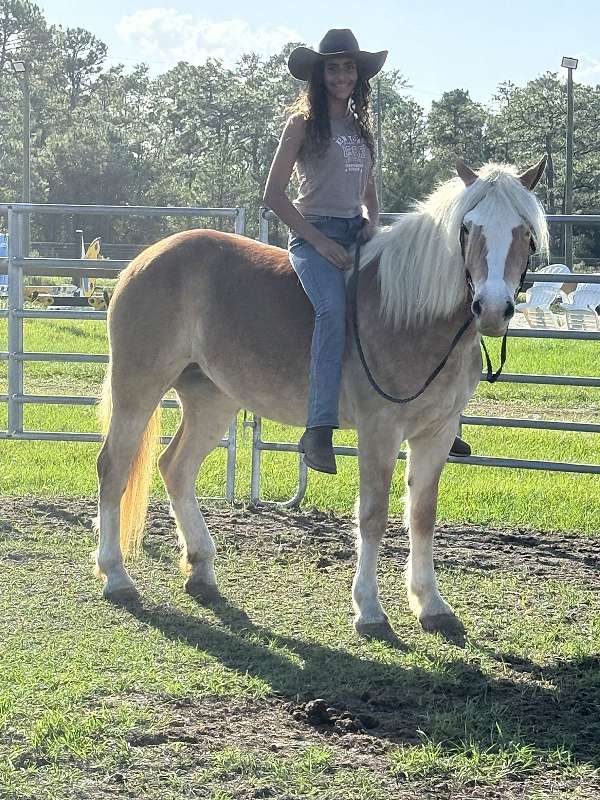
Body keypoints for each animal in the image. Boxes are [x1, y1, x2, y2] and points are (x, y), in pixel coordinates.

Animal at [96, 159, 552, 640]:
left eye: (525, 231)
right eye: (467, 227)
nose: (492, 309)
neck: (410, 315)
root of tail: (146, 258)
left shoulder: (436, 433)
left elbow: (422, 515)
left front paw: (431, 605)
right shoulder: (379, 431)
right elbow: (373, 515)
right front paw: (369, 610)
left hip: (211, 399)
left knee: (176, 468)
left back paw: (201, 571)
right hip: (137, 387)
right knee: (114, 468)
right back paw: (116, 577)